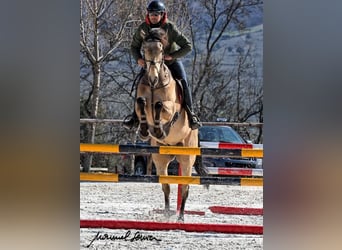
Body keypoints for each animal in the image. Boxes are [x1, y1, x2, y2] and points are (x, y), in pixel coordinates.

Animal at [135, 28, 207, 222]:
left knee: (186, 187)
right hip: (160, 158)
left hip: (187, 158)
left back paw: (180, 217)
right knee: (166, 186)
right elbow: (141, 103)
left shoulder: (171, 108)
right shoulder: (141, 102)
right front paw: (144, 130)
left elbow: (161, 106)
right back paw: (167, 215)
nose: (152, 79)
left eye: (161, 49)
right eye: (144, 49)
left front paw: (159, 129)